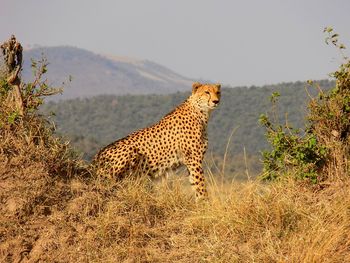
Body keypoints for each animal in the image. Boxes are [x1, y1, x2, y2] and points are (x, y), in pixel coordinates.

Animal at [91, 82, 220, 200]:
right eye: (207, 92)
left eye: (218, 92)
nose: (216, 101)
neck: (200, 111)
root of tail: (95, 159)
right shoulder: (194, 159)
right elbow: (200, 185)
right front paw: (205, 204)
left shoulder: (191, 161)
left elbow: (195, 183)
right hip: (129, 153)